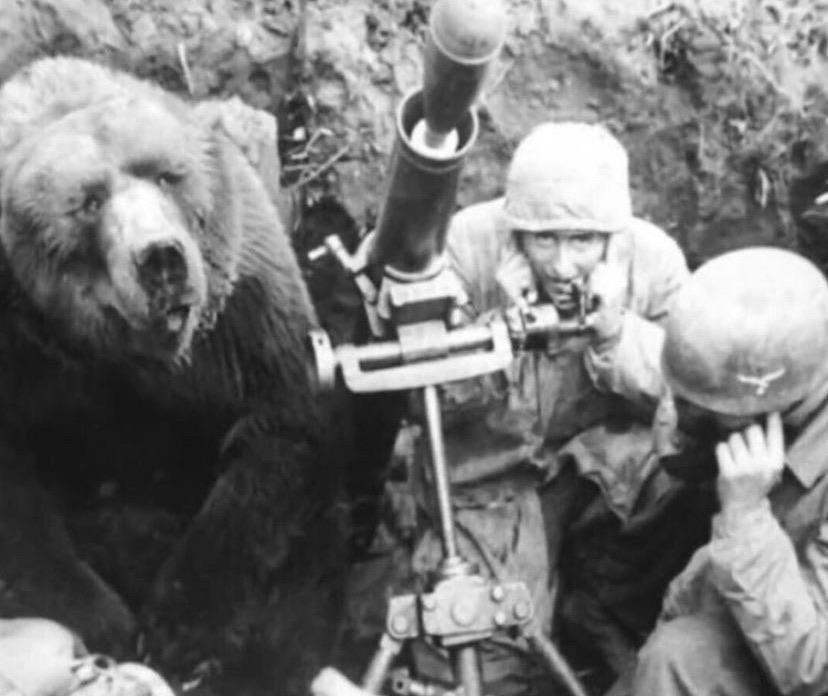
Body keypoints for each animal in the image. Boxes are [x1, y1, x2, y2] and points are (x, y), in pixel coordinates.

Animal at [0, 56, 349, 693]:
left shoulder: (242, 313)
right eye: (88, 201)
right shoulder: (21, 349)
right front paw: (104, 618)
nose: (160, 257)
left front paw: (183, 627)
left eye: (166, 175)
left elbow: (278, 437)